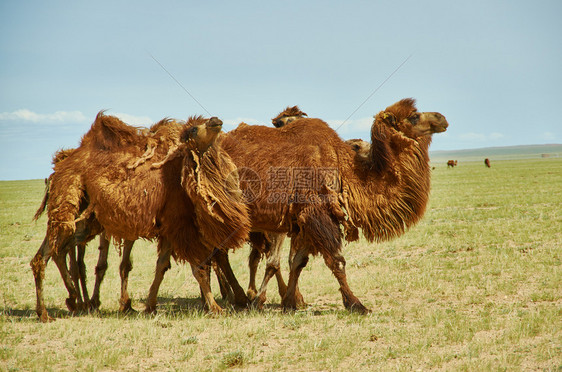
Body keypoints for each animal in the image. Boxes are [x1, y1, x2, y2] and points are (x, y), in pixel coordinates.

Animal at [30, 112, 249, 322]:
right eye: (194, 128)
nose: (215, 120)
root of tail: (57, 171)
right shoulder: (180, 225)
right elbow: (199, 268)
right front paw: (215, 308)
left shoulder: (168, 228)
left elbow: (162, 266)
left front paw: (149, 306)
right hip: (68, 202)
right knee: (47, 254)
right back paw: (50, 311)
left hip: (86, 220)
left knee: (57, 251)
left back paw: (69, 301)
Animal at [219, 97, 446, 312]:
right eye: (414, 116)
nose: (441, 118)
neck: (343, 167)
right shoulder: (316, 212)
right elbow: (336, 260)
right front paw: (356, 304)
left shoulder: (304, 219)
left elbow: (298, 261)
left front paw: (290, 302)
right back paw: (236, 298)